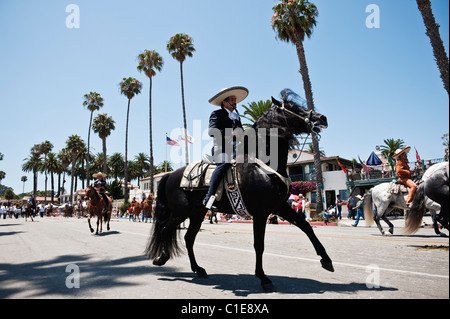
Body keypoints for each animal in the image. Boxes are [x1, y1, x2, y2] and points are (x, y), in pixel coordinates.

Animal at [145, 89, 334, 292]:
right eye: (292, 107)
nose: (322, 117)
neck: (262, 166)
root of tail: (170, 174)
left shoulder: (279, 206)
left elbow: (306, 226)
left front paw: (326, 260)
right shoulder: (261, 212)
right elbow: (259, 244)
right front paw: (263, 278)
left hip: (197, 213)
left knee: (188, 238)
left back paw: (198, 269)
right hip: (181, 212)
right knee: (165, 230)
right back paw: (162, 259)